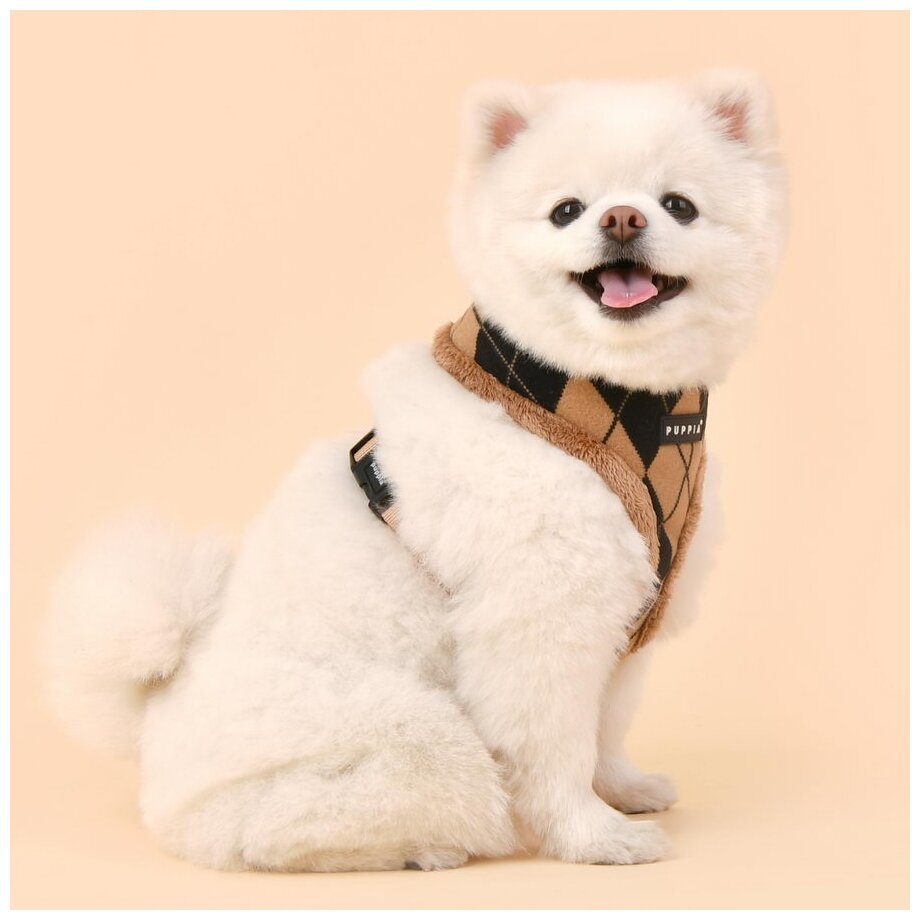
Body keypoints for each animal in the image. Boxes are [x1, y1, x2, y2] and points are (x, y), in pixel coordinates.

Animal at [42, 70, 785, 871]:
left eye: (679, 204)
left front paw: (620, 788)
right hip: (413, 731)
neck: (603, 399)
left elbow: (605, 725)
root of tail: (159, 701)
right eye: (566, 211)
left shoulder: (622, 616)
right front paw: (593, 835)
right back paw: (422, 848)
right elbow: (557, 747)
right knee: (281, 828)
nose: (621, 218)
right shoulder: (541, 617)